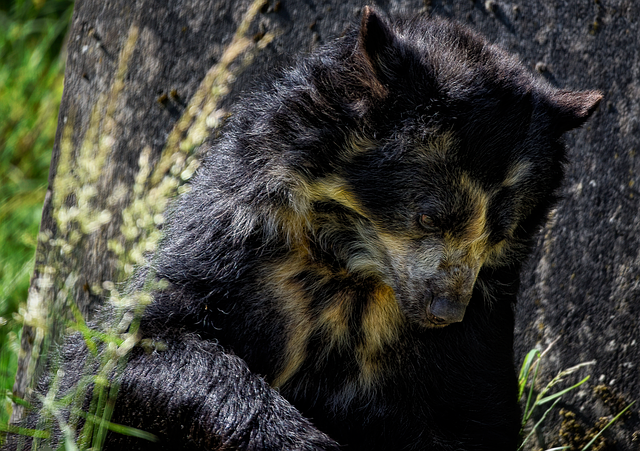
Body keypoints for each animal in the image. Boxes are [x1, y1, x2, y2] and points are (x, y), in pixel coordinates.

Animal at [8, 4, 600, 451]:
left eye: (498, 230)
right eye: (430, 215)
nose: (445, 310)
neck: (353, 271)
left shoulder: (482, 324)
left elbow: (472, 413)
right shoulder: (238, 242)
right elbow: (128, 349)